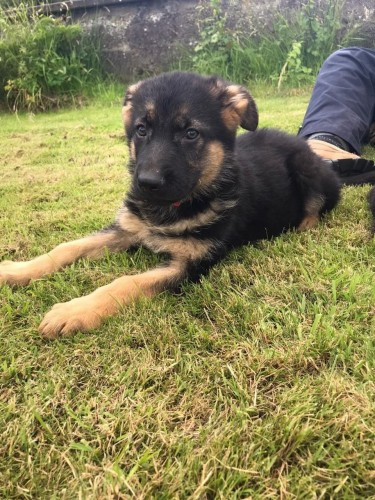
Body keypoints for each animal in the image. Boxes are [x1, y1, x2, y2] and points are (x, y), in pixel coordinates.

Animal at [0, 72, 340, 338]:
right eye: (141, 129)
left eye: (190, 133)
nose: (147, 183)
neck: (171, 207)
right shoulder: (126, 228)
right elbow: (66, 247)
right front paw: (17, 270)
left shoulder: (187, 266)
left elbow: (125, 283)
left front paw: (74, 310)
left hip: (307, 170)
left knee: (317, 207)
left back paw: (300, 226)